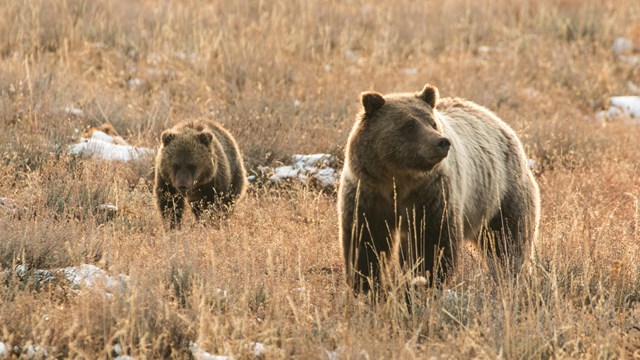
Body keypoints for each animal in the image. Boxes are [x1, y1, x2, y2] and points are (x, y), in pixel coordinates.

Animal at [340, 85, 540, 296]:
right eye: (409, 125)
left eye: (432, 123)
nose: (442, 142)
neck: (399, 180)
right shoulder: (368, 194)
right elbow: (365, 241)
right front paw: (366, 285)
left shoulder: (431, 195)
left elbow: (433, 243)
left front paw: (421, 283)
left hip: (501, 195)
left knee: (508, 241)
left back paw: (510, 277)